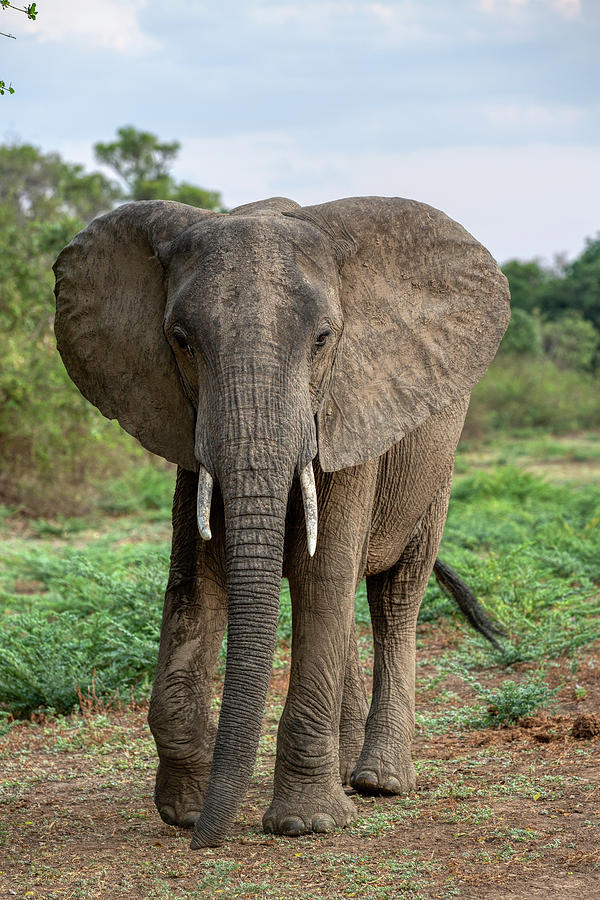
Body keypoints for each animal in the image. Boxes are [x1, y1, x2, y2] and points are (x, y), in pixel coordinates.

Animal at [52, 193, 510, 848]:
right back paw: (346, 775)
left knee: (394, 591)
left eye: (323, 339)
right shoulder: (189, 429)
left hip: (437, 461)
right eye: (179, 340)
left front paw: (304, 825)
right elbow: (196, 582)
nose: (204, 840)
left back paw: (379, 782)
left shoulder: (349, 409)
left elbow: (323, 577)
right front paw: (185, 811)